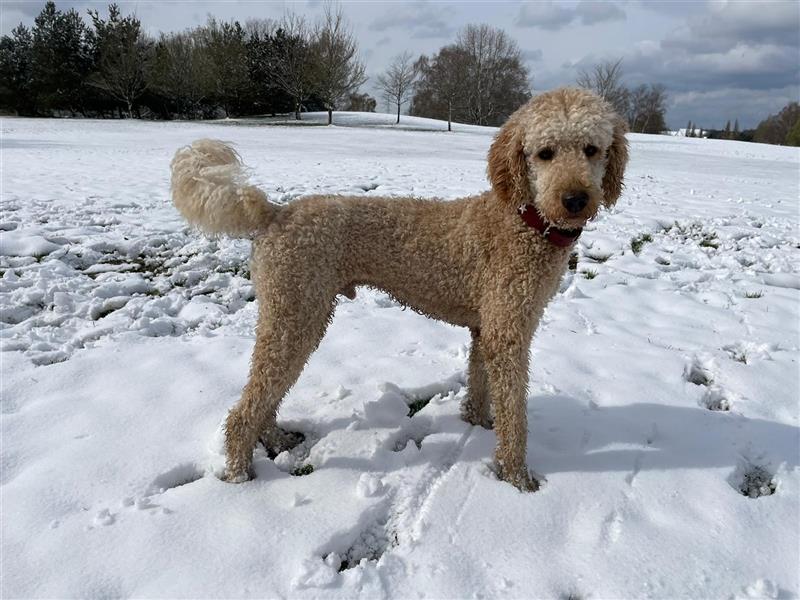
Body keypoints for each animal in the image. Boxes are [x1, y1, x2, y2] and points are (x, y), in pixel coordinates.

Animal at [172, 88, 628, 492]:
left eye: (592, 149)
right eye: (544, 153)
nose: (575, 200)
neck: (524, 220)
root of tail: (273, 213)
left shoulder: (486, 326)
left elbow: (480, 383)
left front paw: (477, 424)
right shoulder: (508, 329)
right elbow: (515, 412)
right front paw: (516, 477)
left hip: (291, 313)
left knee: (264, 390)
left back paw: (276, 440)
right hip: (297, 311)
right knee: (247, 407)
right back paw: (240, 477)